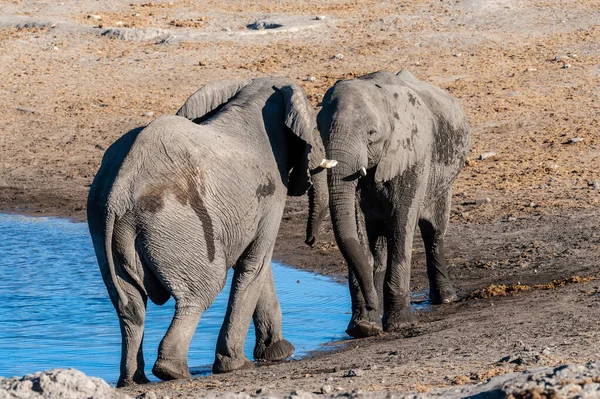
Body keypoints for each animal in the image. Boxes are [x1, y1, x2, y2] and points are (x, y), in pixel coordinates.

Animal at [86, 78, 330, 388]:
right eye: (316, 129)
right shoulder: (273, 190)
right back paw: (173, 371)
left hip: (103, 226)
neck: (252, 95)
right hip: (179, 224)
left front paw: (277, 353)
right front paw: (240, 365)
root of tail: (118, 192)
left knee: (130, 305)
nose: (311, 241)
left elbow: (257, 266)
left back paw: (134, 381)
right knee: (200, 293)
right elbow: (255, 264)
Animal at [308, 70, 472, 340]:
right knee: (379, 241)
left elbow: (402, 224)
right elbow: (358, 228)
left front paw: (400, 325)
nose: (310, 241)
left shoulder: (413, 155)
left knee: (434, 231)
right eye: (320, 131)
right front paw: (364, 327)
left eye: (371, 134)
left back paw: (446, 299)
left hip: (443, 181)